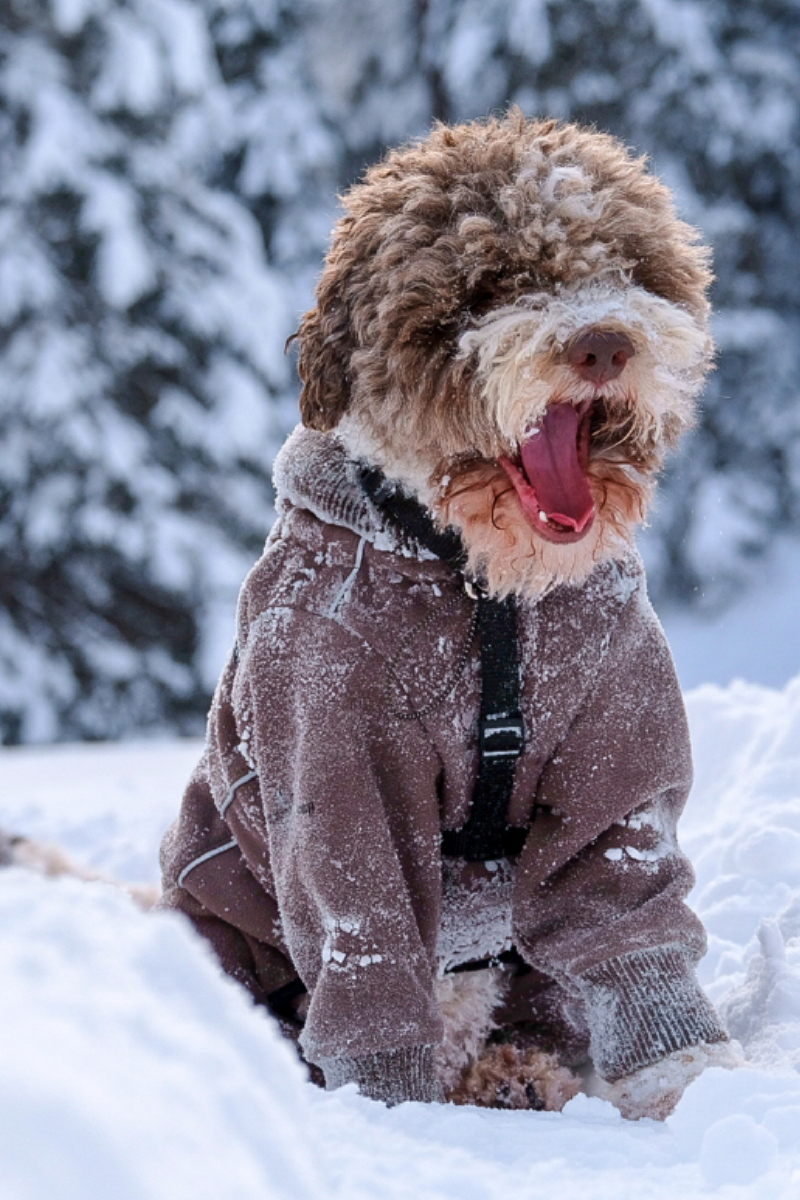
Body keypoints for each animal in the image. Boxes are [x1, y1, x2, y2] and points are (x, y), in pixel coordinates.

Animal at [159, 110, 743, 1113]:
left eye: (627, 267)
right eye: (491, 286)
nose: (601, 343)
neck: (484, 587)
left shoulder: (616, 725)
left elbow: (624, 904)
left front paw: (694, 1082)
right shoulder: (333, 746)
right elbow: (369, 940)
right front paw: (389, 1109)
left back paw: (519, 1074)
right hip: (214, 923)